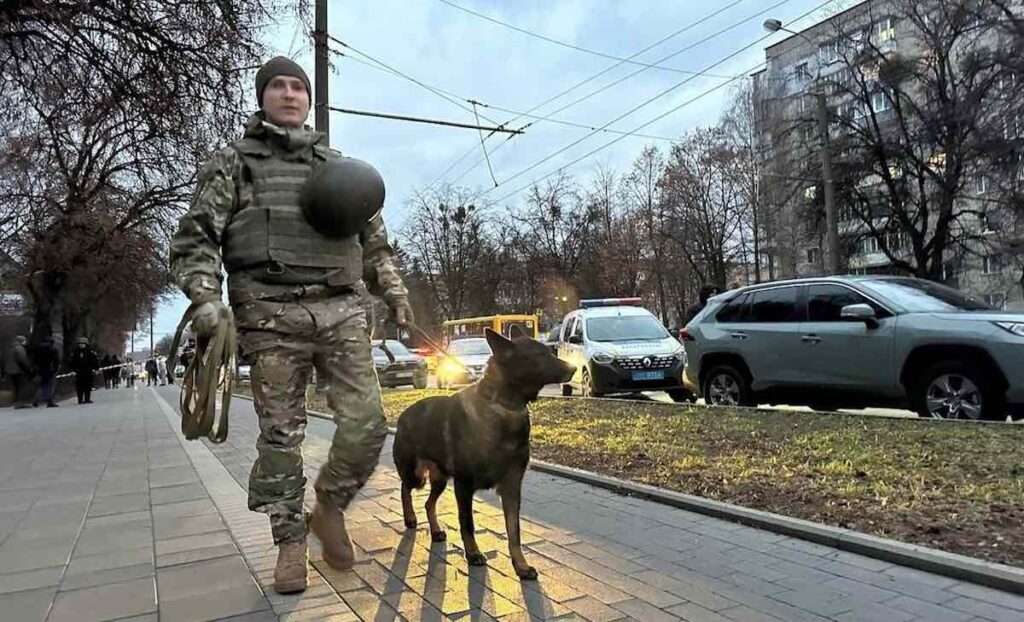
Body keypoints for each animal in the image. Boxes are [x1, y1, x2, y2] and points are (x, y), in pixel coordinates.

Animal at [391, 325, 577, 577]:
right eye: (540, 355)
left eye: (550, 352)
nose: (574, 368)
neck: (504, 406)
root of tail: (402, 415)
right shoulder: (464, 486)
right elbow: (467, 524)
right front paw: (473, 554)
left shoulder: (511, 488)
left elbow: (514, 532)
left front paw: (520, 565)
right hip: (416, 475)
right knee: (405, 488)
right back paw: (410, 517)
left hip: (440, 480)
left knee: (429, 503)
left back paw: (436, 530)